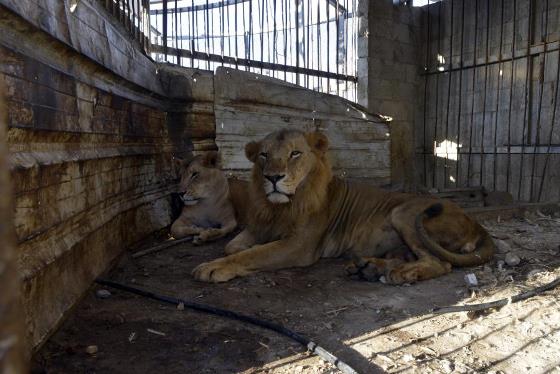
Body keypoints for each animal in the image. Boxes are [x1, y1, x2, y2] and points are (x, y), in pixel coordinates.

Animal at [192, 130, 494, 282]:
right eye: (264, 155)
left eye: (295, 153)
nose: (273, 178)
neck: (281, 206)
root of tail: (478, 224)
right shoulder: (259, 227)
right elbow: (233, 246)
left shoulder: (299, 246)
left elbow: (252, 254)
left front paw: (213, 267)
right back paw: (369, 268)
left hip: (403, 212)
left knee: (440, 263)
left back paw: (402, 274)